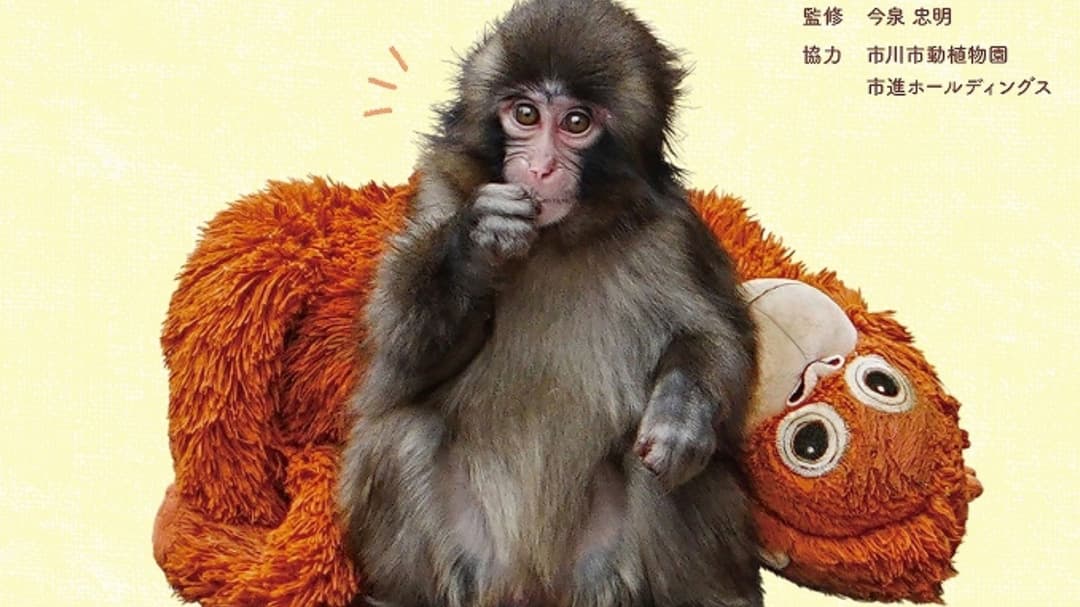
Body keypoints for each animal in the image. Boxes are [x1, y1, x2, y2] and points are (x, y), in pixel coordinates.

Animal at [339, 1, 761, 606]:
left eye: (576, 123)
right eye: (525, 114)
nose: (539, 168)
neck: (558, 237)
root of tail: (531, 584)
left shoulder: (672, 236)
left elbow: (716, 341)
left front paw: (681, 412)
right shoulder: (439, 193)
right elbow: (397, 362)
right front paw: (473, 246)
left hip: (603, 570)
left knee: (685, 469)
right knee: (401, 433)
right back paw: (403, 595)